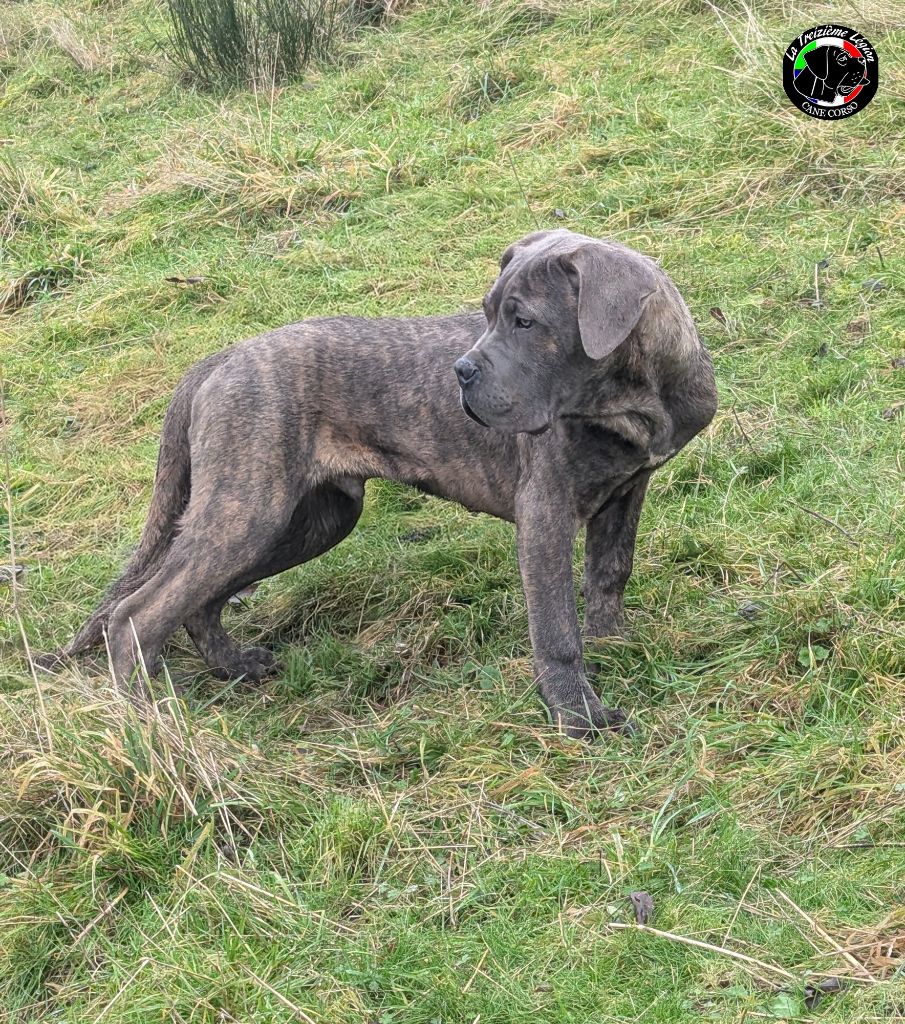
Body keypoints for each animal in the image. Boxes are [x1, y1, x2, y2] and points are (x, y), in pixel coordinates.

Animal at [46, 230, 716, 737]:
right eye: (488, 314)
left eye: (525, 321)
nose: (461, 372)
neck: (626, 403)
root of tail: (220, 359)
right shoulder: (544, 514)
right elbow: (555, 628)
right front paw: (578, 717)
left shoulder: (627, 492)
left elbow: (610, 573)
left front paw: (614, 645)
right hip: (248, 508)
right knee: (137, 613)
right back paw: (147, 725)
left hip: (309, 520)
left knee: (200, 599)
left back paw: (234, 665)